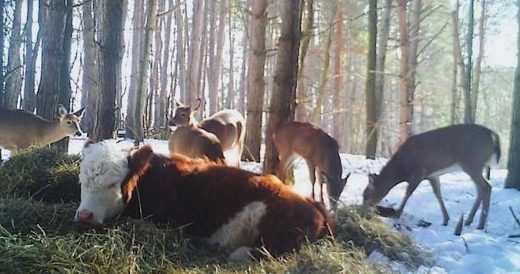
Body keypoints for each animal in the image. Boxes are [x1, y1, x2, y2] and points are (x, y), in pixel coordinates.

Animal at [362, 123, 500, 229]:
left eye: (367, 195)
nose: (361, 212)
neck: (402, 168)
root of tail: (493, 135)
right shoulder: (432, 175)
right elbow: (437, 193)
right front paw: (446, 219)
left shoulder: (419, 172)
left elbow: (408, 192)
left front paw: (397, 214)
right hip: (475, 166)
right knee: (480, 189)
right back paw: (468, 221)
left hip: (472, 162)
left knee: (486, 187)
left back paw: (480, 225)